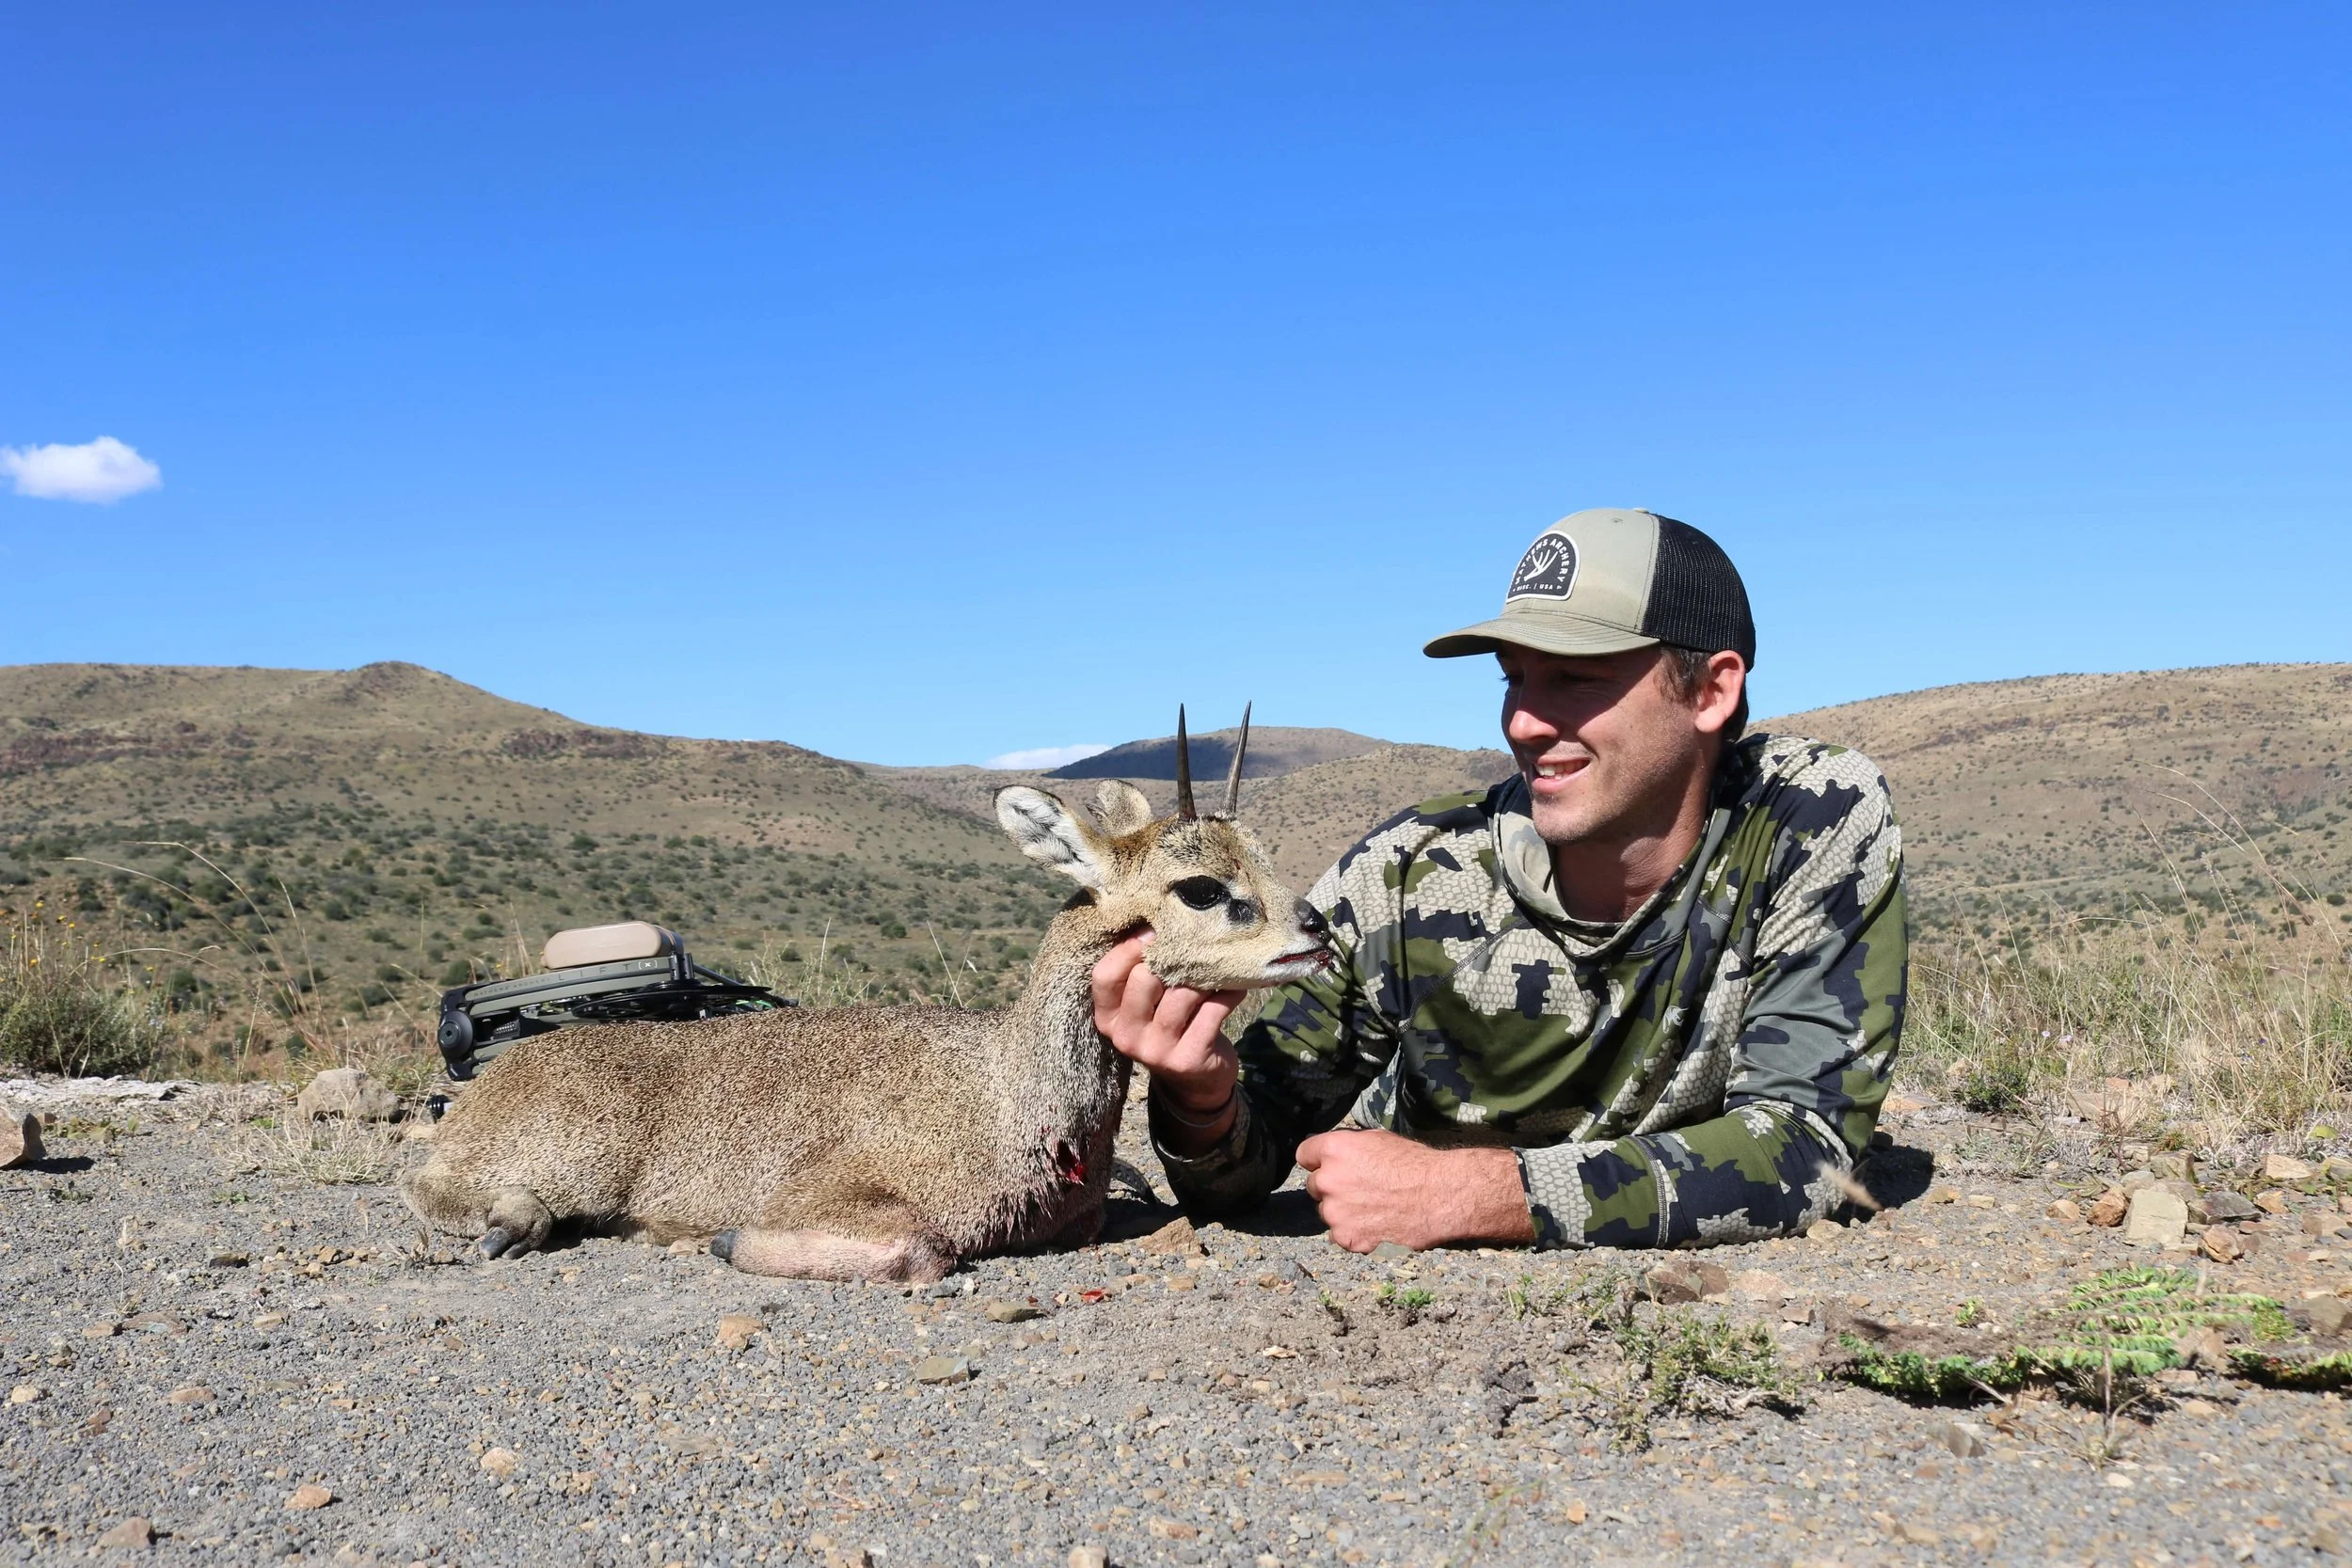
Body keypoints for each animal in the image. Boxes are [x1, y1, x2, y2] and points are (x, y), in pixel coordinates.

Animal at [400, 708, 1330, 1282]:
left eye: (1262, 853)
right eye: (1202, 888)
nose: (1316, 927)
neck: (1008, 1098)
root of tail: (483, 1086)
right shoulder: (842, 1196)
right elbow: (920, 1248)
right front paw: (726, 1237)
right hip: (559, 1163)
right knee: (425, 1184)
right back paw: (515, 1220)